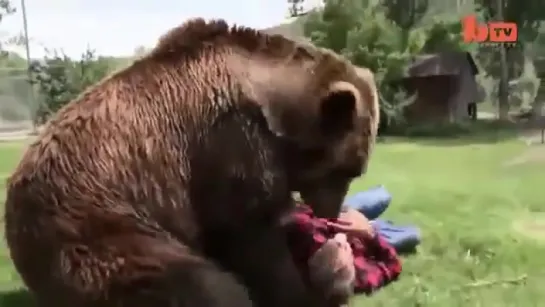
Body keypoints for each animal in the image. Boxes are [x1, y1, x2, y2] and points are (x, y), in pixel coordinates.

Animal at [4, 18, 378, 306]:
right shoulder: (228, 144)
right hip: (97, 228)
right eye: (347, 171)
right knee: (199, 283)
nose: (333, 214)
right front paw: (309, 288)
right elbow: (253, 237)